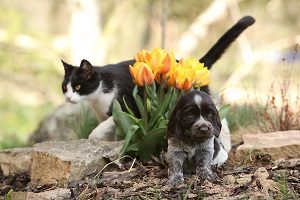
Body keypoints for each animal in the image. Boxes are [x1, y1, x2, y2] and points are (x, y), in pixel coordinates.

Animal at [62, 15, 254, 141]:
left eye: (78, 87)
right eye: (65, 88)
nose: (68, 98)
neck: (97, 96)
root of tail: (197, 64)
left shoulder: (123, 106)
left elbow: (103, 127)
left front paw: (92, 137)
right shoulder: (105, 115)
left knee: (221, 119)